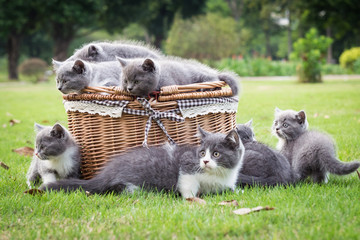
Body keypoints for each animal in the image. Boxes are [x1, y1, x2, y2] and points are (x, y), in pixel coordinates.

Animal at [40, 126, 246, 198]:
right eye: (202, 152)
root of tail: (105, 173)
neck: (217, 175)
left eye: (216, 154)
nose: (204, 161)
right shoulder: (187, 165)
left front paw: (238, 190)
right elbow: (187, 183)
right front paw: (191, 199)